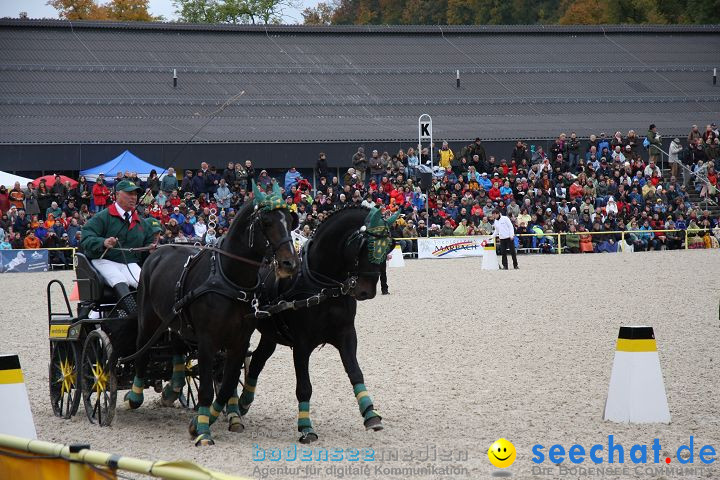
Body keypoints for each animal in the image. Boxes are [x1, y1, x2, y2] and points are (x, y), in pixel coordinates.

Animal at [126, 185, 298, 446]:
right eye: (266, 222)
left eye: (290, 220)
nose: (290, 263)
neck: (230, 279)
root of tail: (159, 250)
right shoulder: (208, 340)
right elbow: (207, 388)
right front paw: (203, 430)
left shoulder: (239, 341)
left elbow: (226, 385)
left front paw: (206, 420)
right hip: (149, 318)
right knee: (141, 351)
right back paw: (135, 395)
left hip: (176, 320)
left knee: (177, 347)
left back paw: (172, 389)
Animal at [235, 206, 396, 442]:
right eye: (365, 246)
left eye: (389, 245)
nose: (366, 291)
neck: (323, 286)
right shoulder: (302, 344)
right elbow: (304, 387)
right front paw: (305, 427)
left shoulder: (347, 335)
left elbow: (355, 372)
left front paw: (370, 414)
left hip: (270, 334)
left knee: (256, 361)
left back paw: (243, 402)